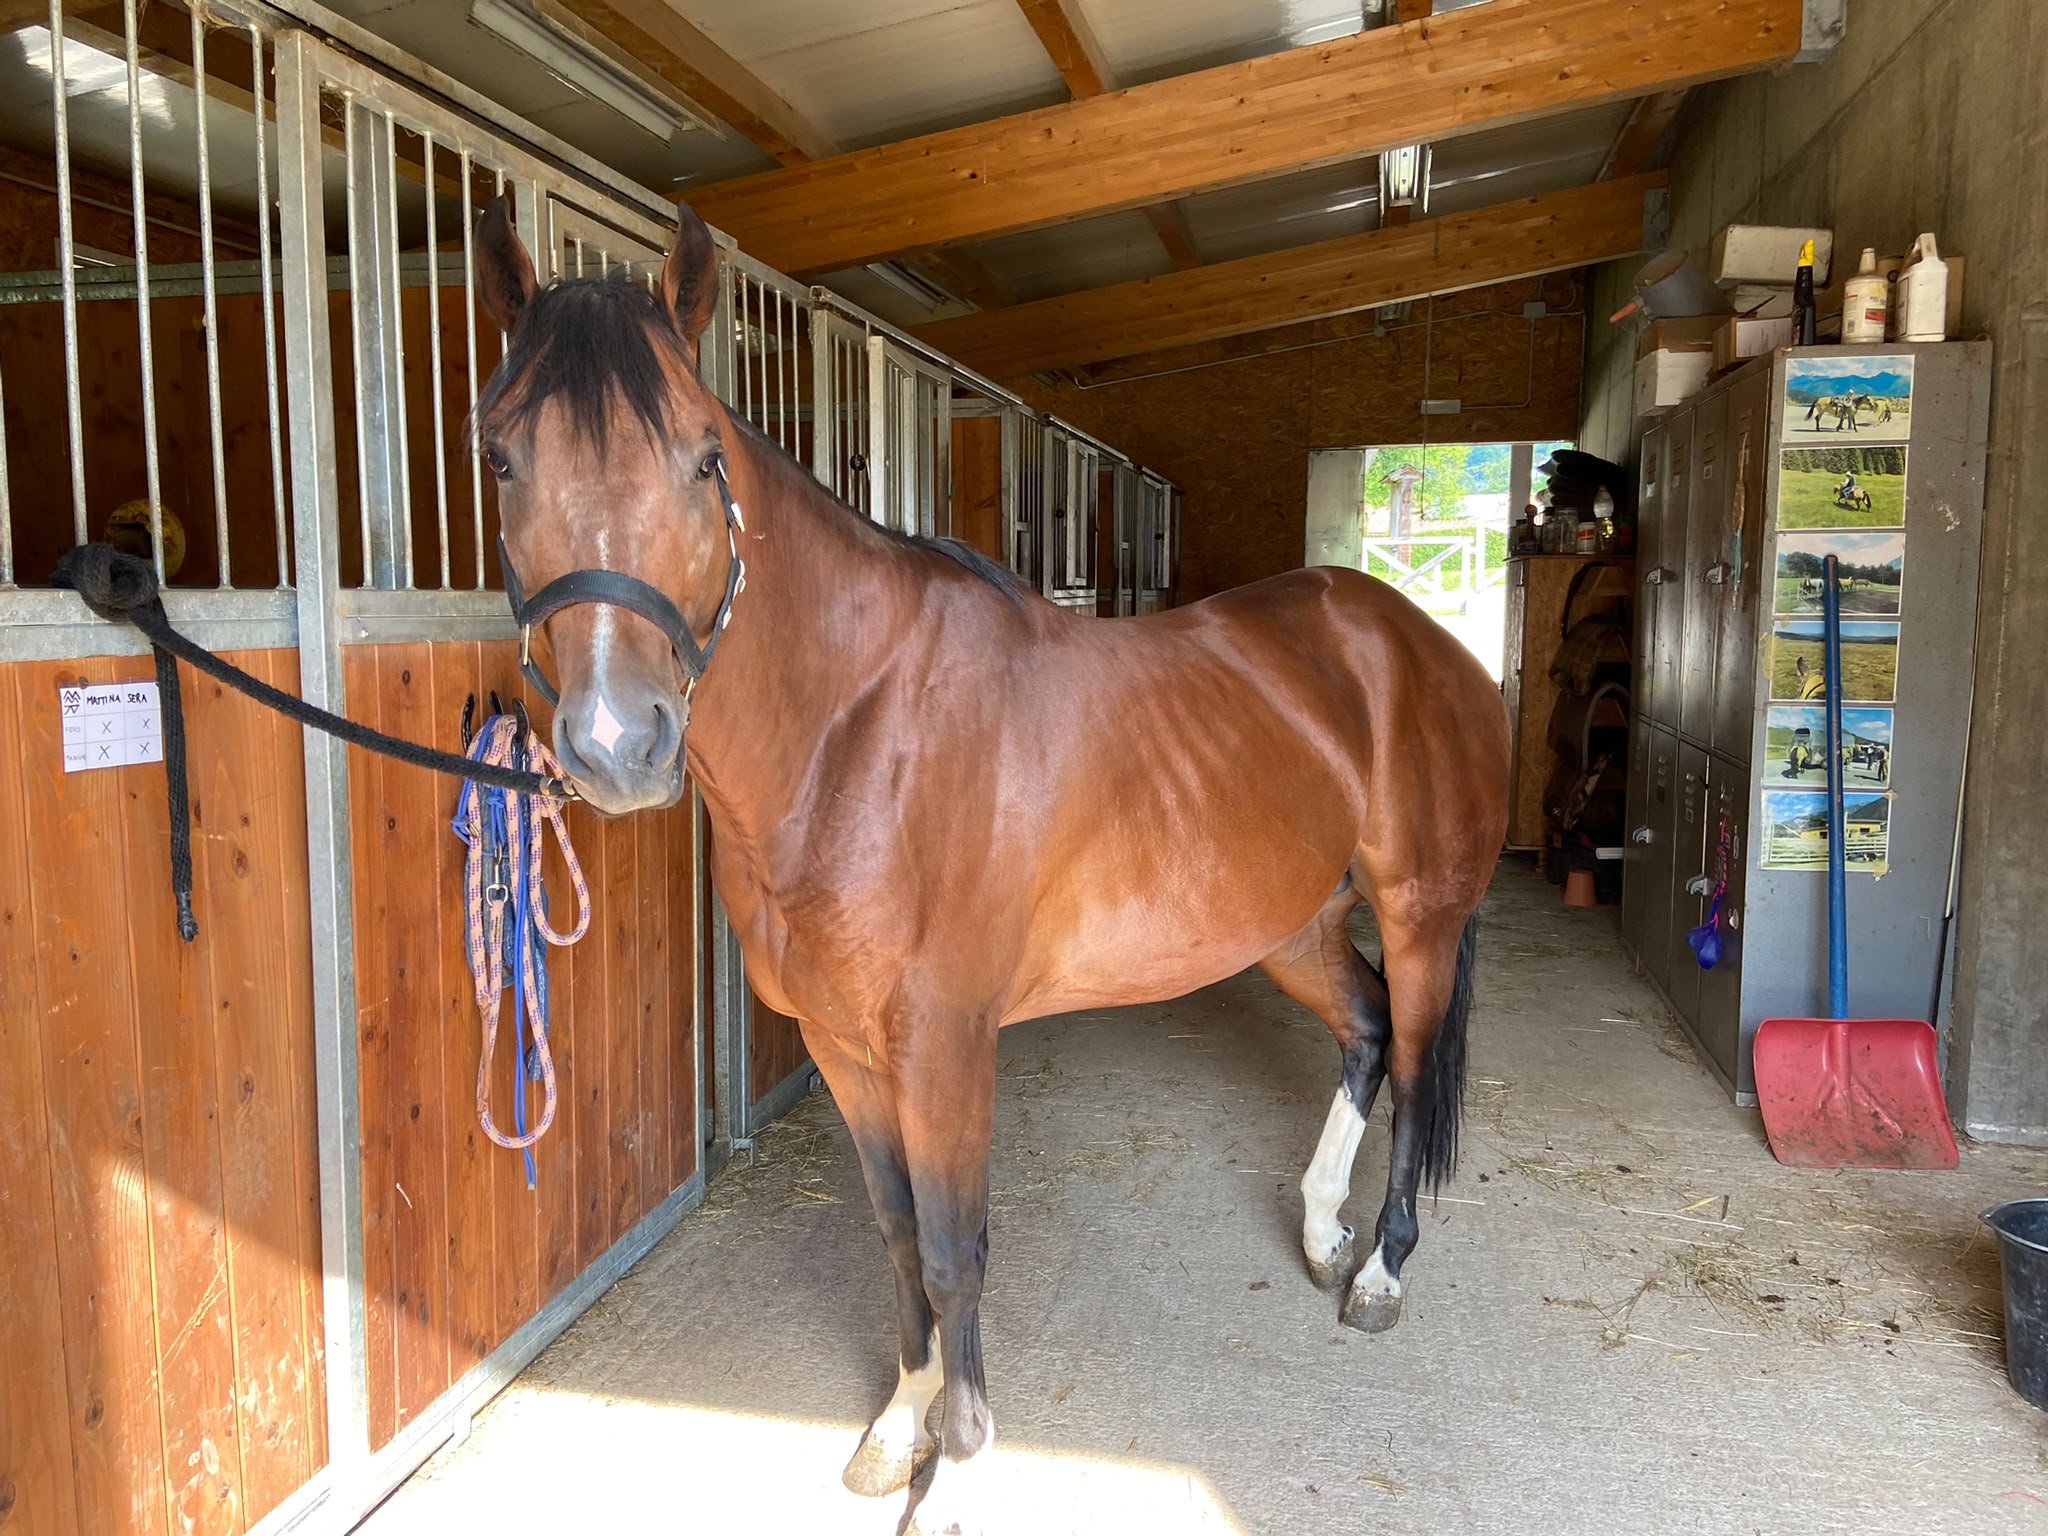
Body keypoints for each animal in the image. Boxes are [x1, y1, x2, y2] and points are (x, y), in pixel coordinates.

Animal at [468, 198, 1509, 1535]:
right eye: (501, 459)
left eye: (703, 458)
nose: (614, 742)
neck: (854, 737)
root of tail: (1414, 639)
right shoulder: (842, 1044)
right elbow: (896, 1233)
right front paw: (893, 1429)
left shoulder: (945, 1046)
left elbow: (955, 1249)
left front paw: (956, 1467)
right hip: (1293, 924)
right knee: (1367, 1033)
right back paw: (1324, 1229)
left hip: (1420, 915)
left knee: (1419, 1067)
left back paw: (1375, 1272)